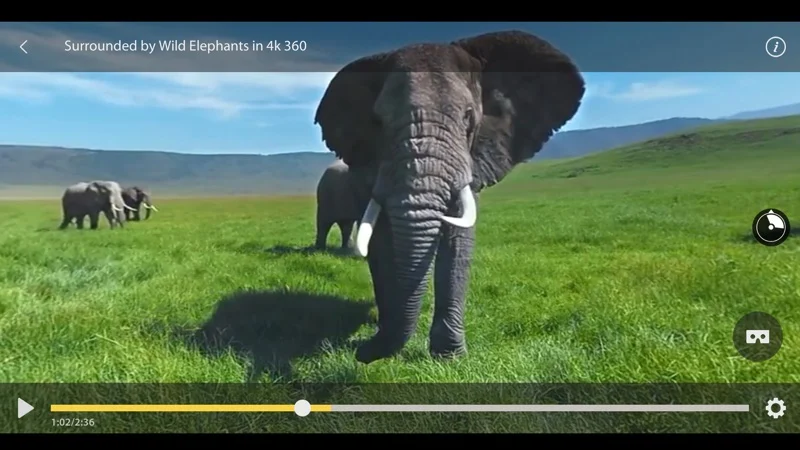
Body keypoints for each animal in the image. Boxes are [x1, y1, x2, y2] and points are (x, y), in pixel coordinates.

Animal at [313, 30, 585, 363]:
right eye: (378, 122)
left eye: (468, 117)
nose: (361, 352)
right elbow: (381, 244)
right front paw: (386, 337)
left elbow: (459, 241)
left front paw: (449, 357)